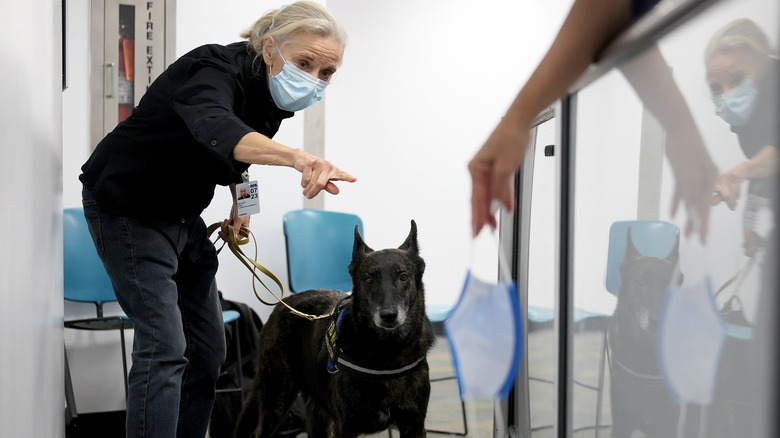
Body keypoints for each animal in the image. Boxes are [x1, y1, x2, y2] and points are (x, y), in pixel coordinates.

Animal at [235, 221, 436, 438]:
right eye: (369, 279)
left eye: (403, 277)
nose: (388, 315)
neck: (387, 353)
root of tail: (283, 304)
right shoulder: (343, 427)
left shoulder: (414, 425)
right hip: (277, 399)